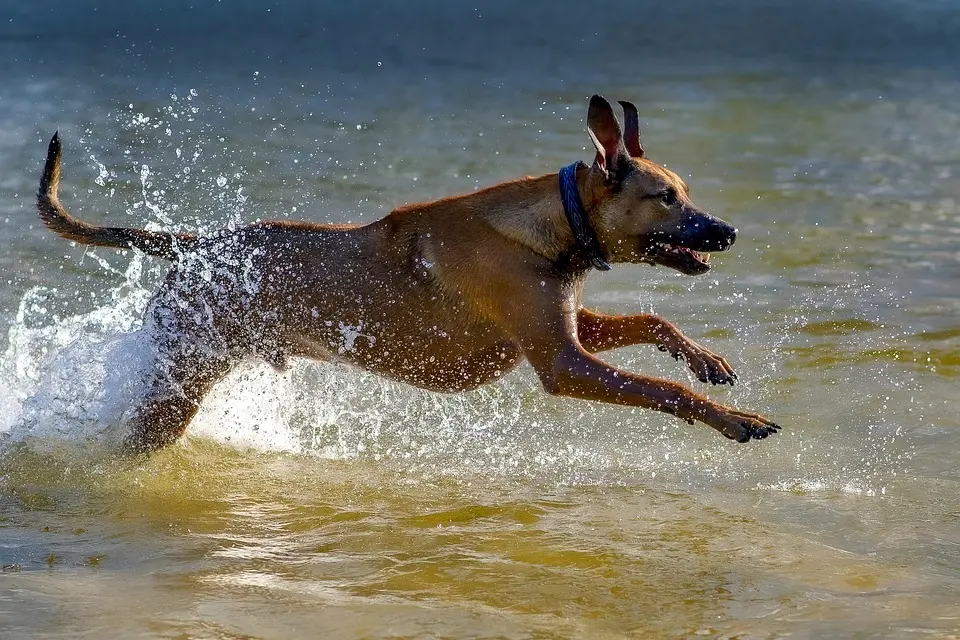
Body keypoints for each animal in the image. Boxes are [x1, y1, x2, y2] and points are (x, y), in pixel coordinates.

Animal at [35, 96, 780, 456]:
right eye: (667, 198)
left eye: (686, 191)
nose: (728, 231)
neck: (554, 225)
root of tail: (194, 245)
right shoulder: (562, 363)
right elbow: (664, 391)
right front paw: (732, 420)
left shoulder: (569, 327)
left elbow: (655, 320)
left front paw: (705, 359)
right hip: (177, 385)